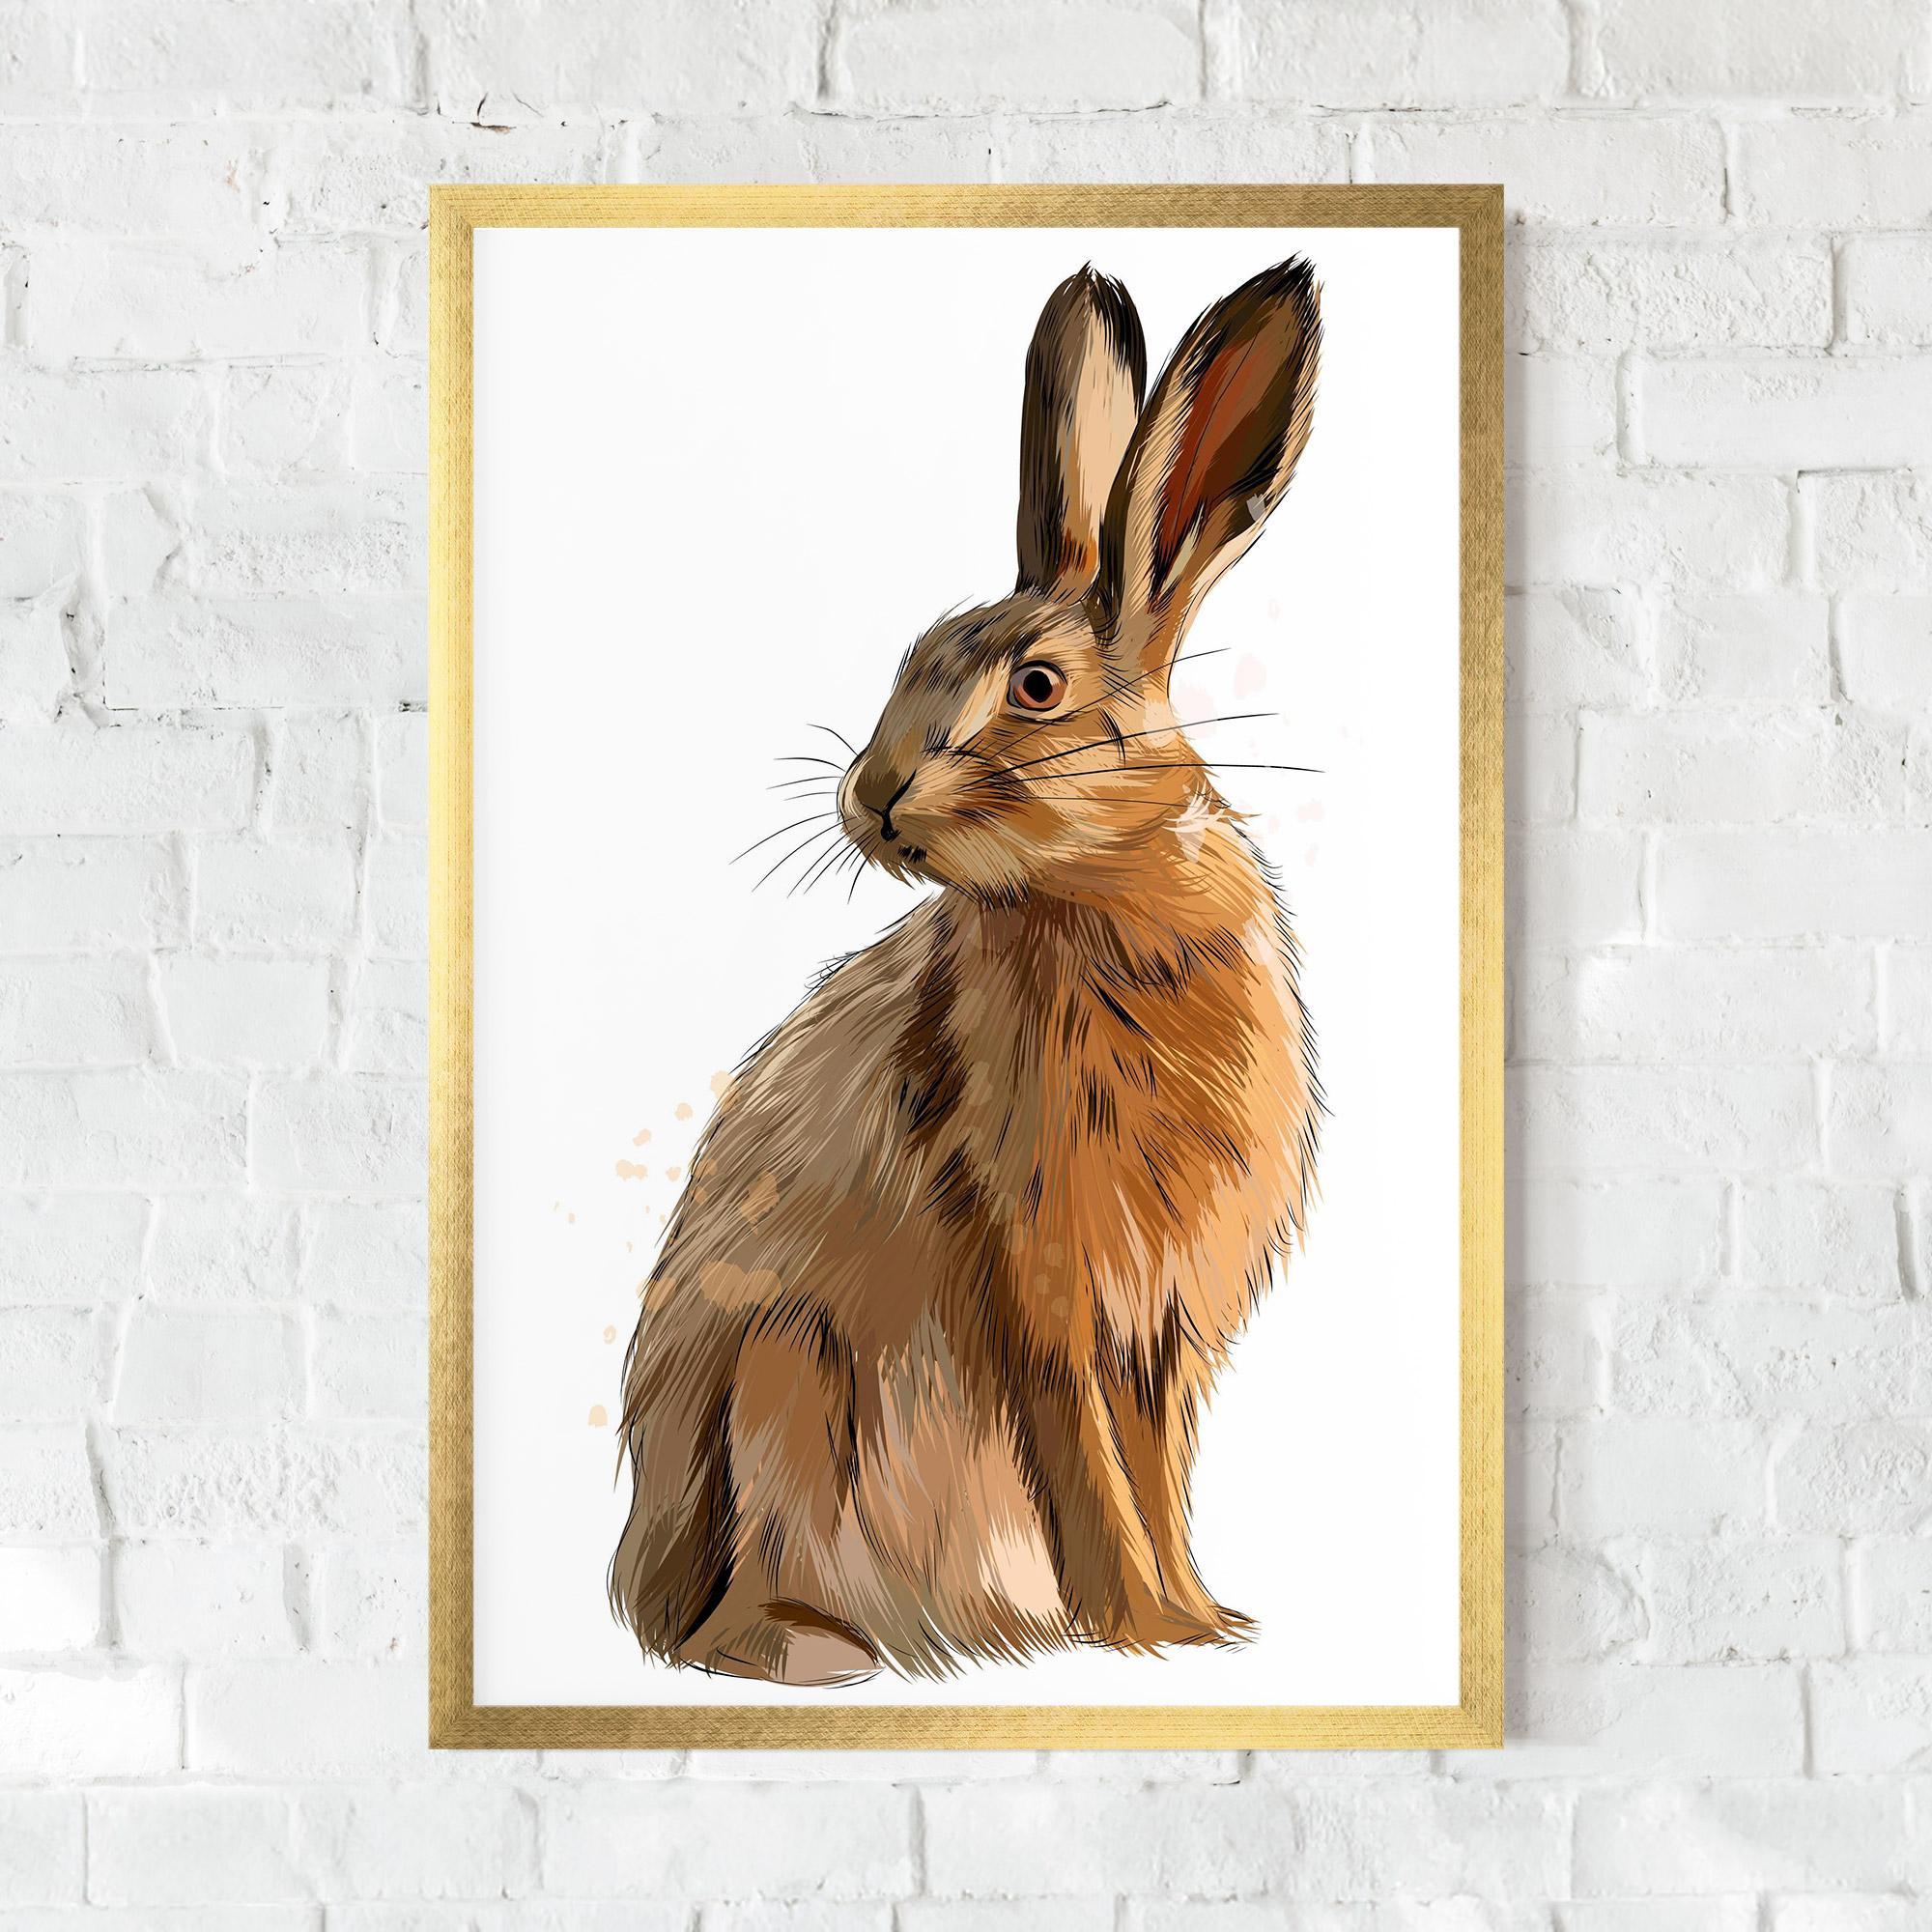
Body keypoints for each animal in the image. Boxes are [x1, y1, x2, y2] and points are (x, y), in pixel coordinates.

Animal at [610, 258, 1324, 1686]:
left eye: (1036, 687)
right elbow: (1089, 1473)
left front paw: (1196, 1621)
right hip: (787, 1382)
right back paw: (823, 1650)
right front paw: (1138, 1630)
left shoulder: (1157, 1329)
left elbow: (1154, 1474)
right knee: (722, 1627)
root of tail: (644, 1583)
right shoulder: (1036, 1281)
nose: (871, 799)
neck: (1098, 898)